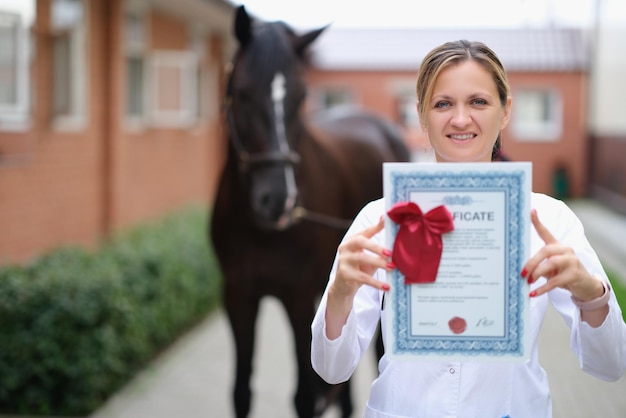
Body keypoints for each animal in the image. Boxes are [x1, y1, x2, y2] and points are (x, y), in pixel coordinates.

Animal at [210, 4, 410, 416]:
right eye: (240, 92)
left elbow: (304, 395)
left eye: (301, 95)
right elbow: (241, 393)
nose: (277, 199)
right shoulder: (237, 297)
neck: (258, 229)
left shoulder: (297, 298)